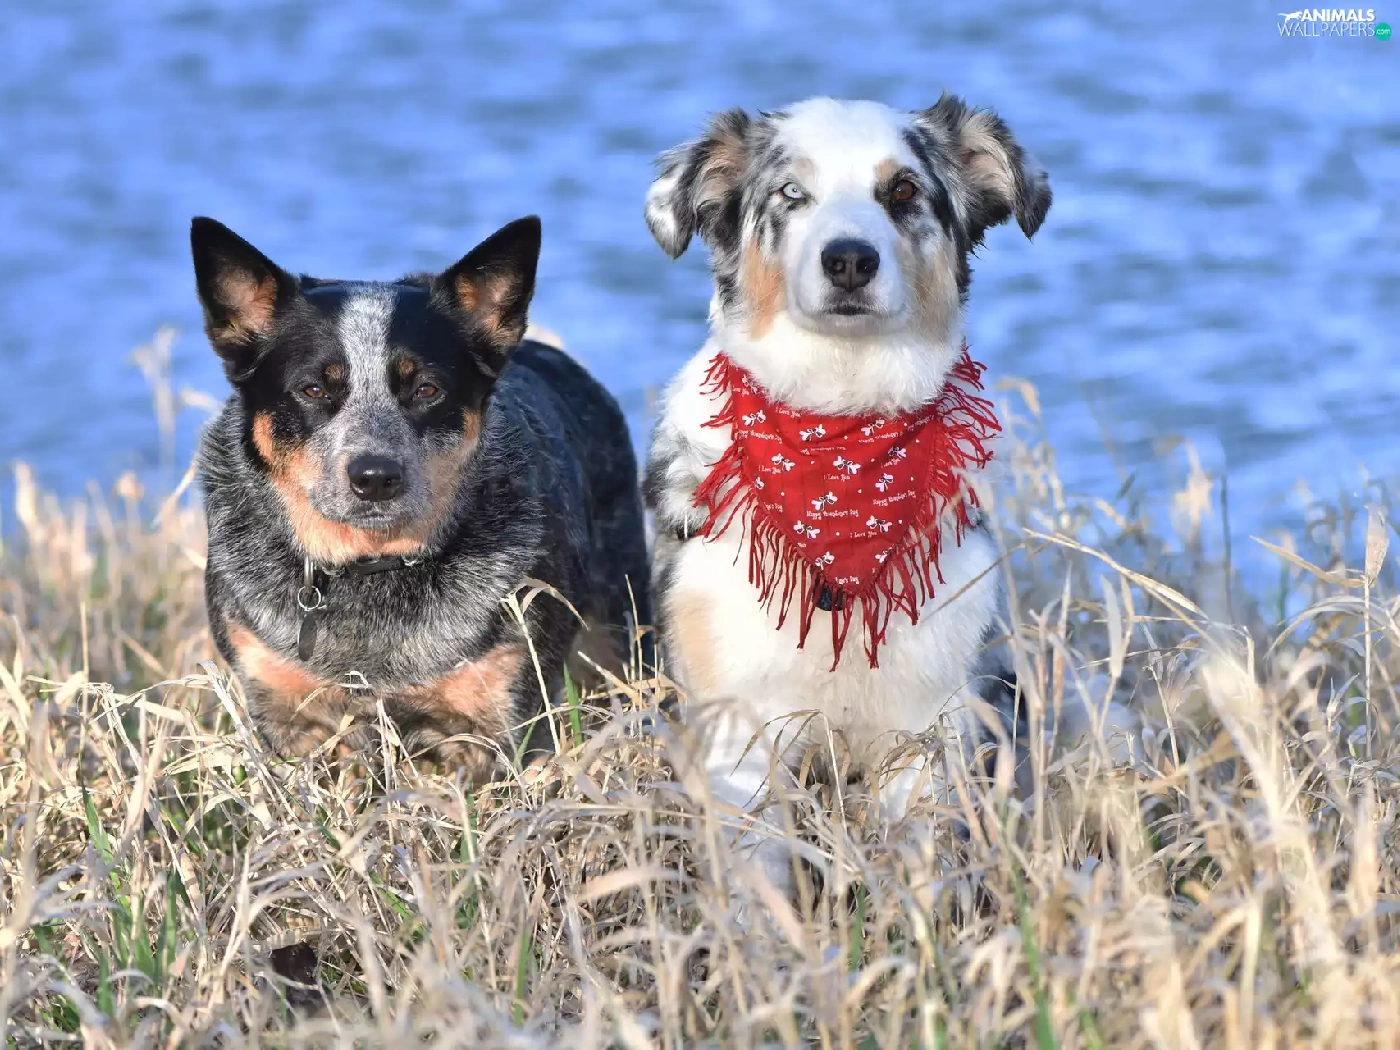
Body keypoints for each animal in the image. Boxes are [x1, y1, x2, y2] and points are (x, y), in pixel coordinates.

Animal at [191, 215, 650, 780]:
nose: (375, 476)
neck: (369, 574)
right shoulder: (286, 714)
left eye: (426, 389)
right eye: (314, 389)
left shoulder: (491, 723)